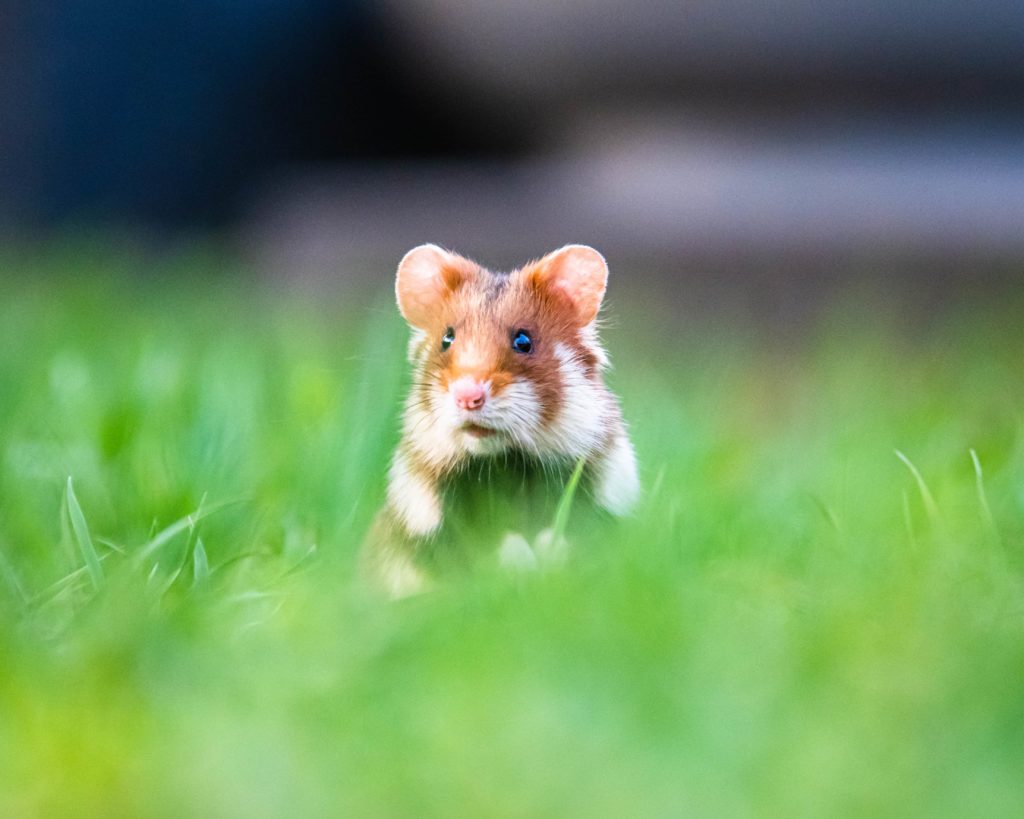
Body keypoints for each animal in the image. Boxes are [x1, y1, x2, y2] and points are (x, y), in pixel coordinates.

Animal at [364, 243, 639, 596]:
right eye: (446, 339)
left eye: (523, 341)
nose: (467, 397)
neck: (507, 462)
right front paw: (518, 559)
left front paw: (550, 552)